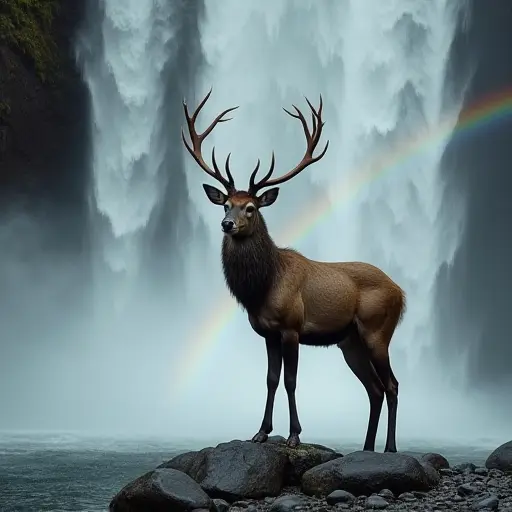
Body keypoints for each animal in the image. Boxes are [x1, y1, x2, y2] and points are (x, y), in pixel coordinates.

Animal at [182, 89, 406, 452]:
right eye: (225, 204)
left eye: (251, 208)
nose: (227, 224)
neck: (262, 288)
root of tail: (402, 292)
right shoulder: (267, 332)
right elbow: (271, 379)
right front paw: (260, 431)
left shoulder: (292, 327)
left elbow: (290, 380)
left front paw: (294, 434)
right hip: (351, 342)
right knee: (374, 388)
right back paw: (366, 447)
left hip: (377, 330)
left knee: (392, 384)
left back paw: (388, 448)